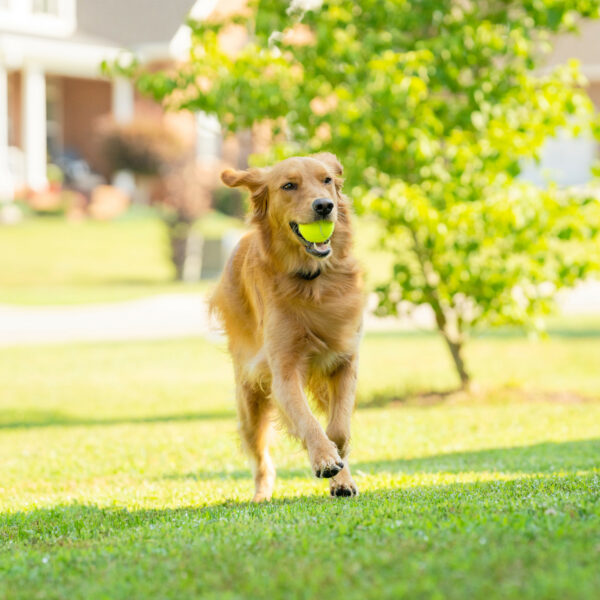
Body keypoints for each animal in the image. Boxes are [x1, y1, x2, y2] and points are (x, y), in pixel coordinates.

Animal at [209, 152, 364, 500]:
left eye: (327, 180)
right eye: (289, 186)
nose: (324, 206)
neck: (313, 281)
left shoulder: (345, 361)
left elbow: (339, 429)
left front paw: (338, 468)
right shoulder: (283, 372)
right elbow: (307, 421)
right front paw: (323, 459)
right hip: (249, 399)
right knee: (260, 458)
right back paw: (261, 495)